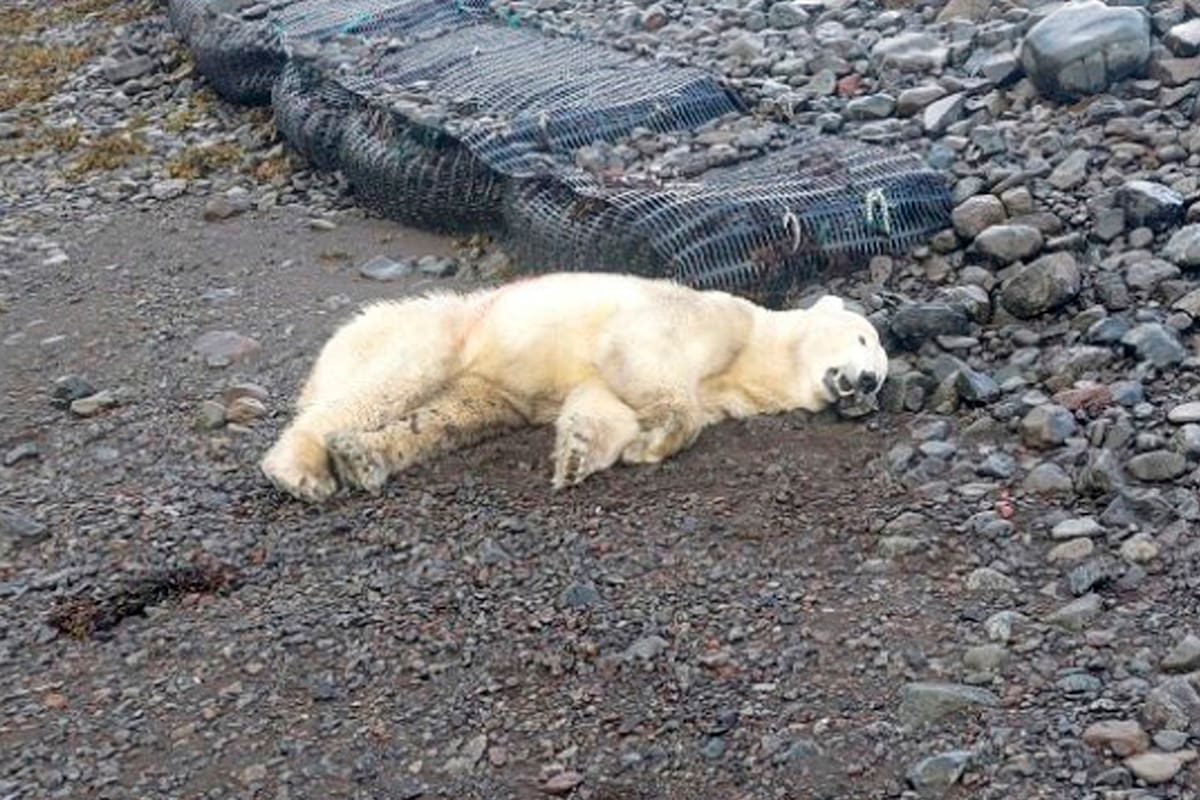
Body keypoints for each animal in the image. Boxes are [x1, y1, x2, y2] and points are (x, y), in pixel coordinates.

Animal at [260, 271, 888, 502]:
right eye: (863, 339)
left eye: (881, 375)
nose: (867, 382)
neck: (756, 352)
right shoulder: (706, 317)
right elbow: (642, 356)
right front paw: (654, 440)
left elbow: (603, 402)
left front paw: (580, 455)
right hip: (441, 332)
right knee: (388, 384)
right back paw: (301, 470)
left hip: (482, 387)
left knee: (447, 418)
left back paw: (361, 458)